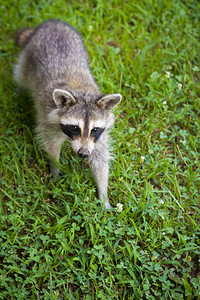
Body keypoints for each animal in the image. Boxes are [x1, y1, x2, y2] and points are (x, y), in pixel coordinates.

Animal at [14, 19, 121, 210]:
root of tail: (53, 23)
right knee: (21, 75)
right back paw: (21, 88)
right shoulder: (48, 118)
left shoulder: (100, 135)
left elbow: (100, 156)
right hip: (28, 58)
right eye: (75, 128)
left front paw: (103, 194)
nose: (83, 154)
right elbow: (51, 144)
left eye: (94, 129)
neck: (82, 92)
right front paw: (55, 167)